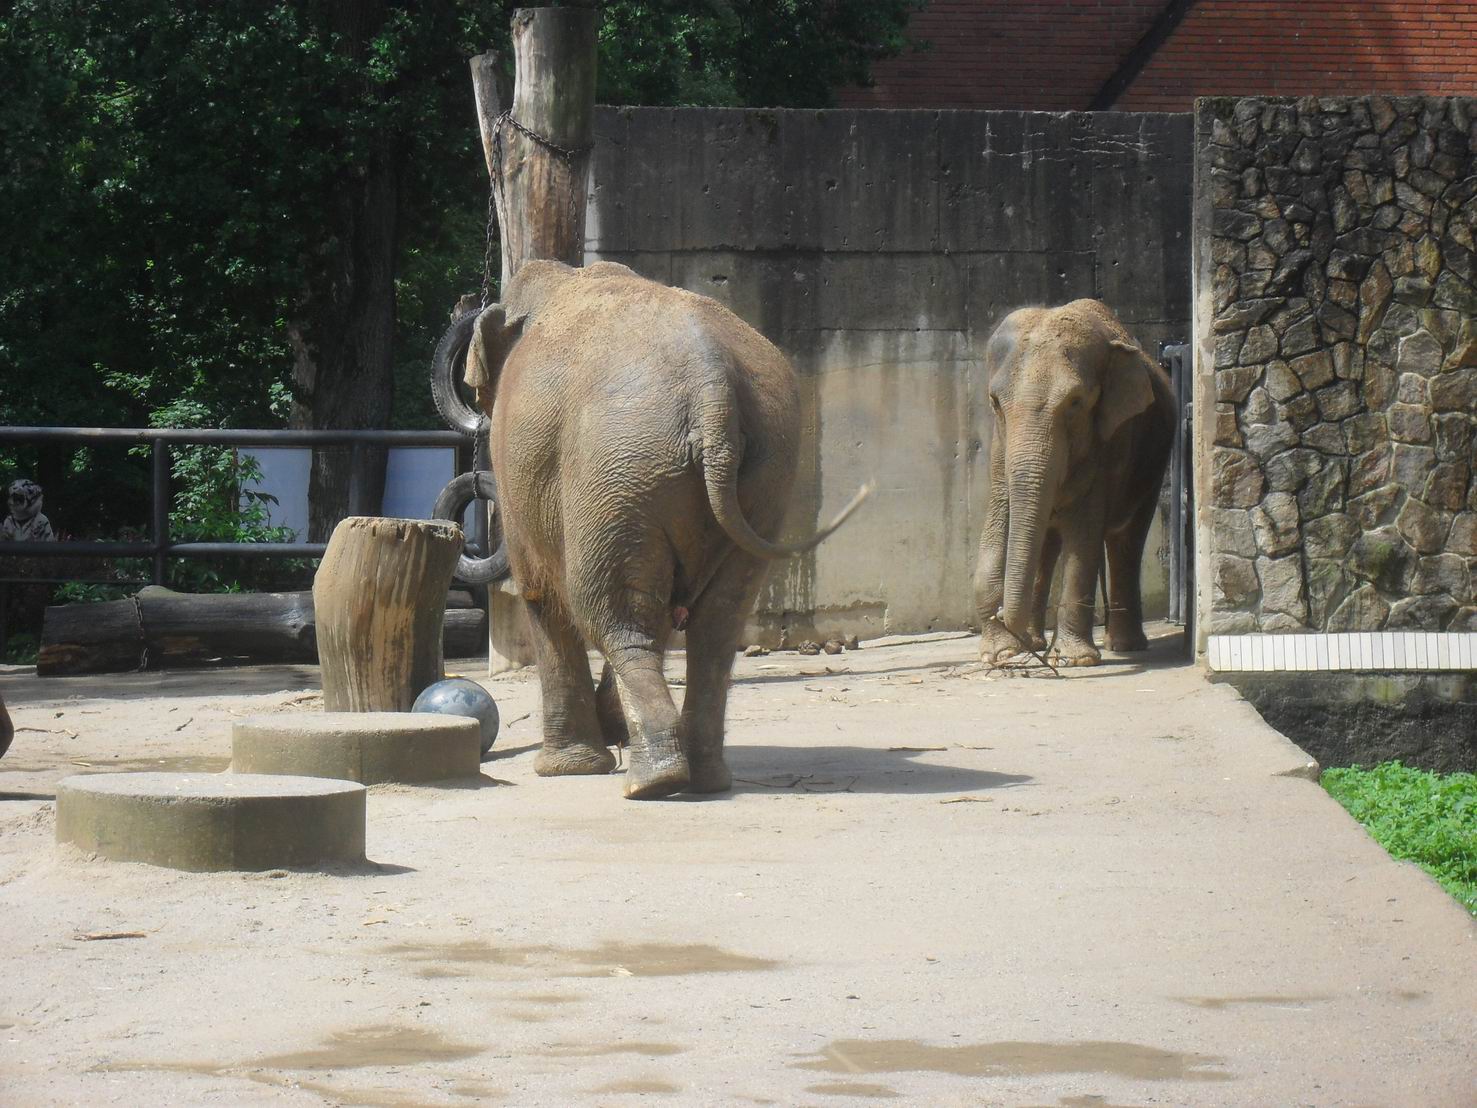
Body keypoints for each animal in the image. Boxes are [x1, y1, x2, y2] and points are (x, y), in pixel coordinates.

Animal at [463, 260, 862, 797]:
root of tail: (714, 388)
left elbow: (540, 593)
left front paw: (565, 769)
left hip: (619, 466)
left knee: (614, 611)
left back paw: (652, 782)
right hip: (761, 473)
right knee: (716, 620)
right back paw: (703, 778)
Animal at [968, 296, 1175, 667]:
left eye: (1076, 402)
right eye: (995, 403)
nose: (1004, 615)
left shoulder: (1109, 442)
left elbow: (1084, 530)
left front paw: (1077, 660)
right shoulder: (999, 445)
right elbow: (1000, 514)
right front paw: (999, 654)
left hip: (1153, 467)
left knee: (1125, 540)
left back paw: (1123, 646)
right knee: (1048, 543)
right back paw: (1036, 643)